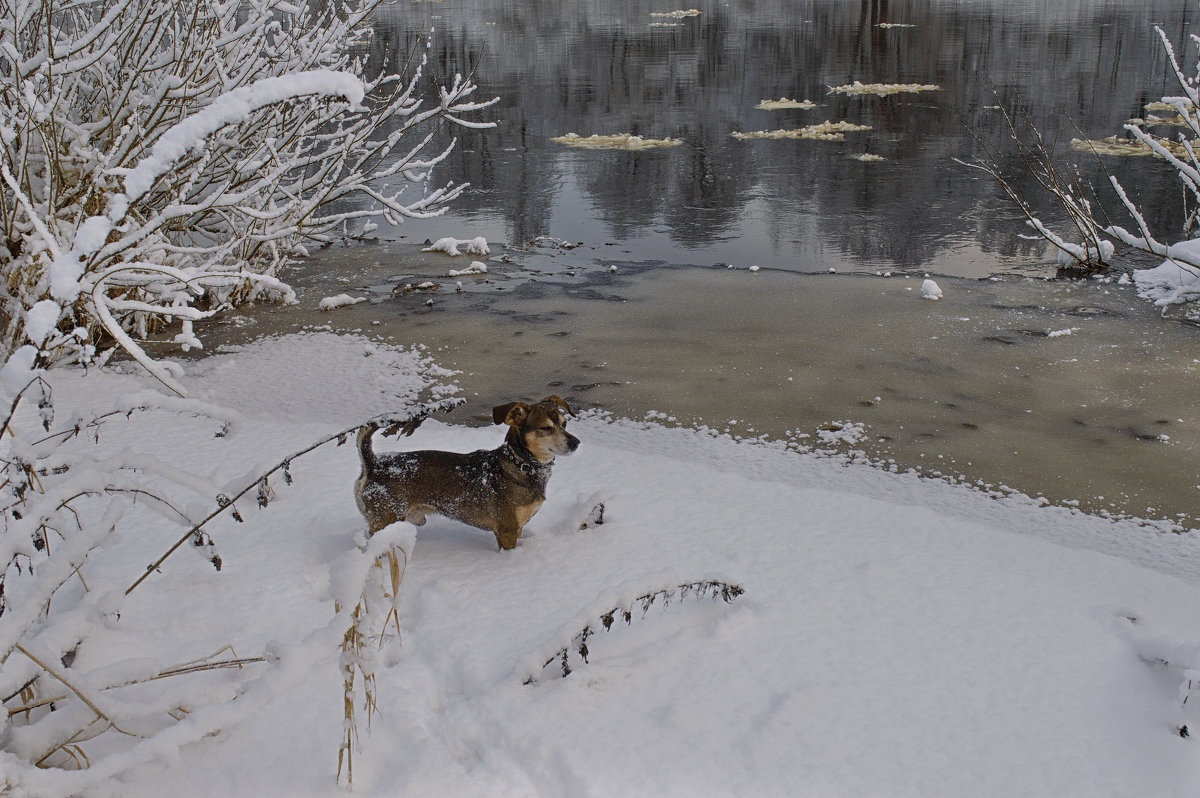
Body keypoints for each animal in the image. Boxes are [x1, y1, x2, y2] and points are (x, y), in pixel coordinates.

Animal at [352, 391, 578, 547]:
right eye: (546, 428)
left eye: (565, 423)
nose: (576, 442)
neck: (521, 465)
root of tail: (374, 464)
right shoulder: (507, 530)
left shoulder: (519, 527)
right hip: (386, 521)